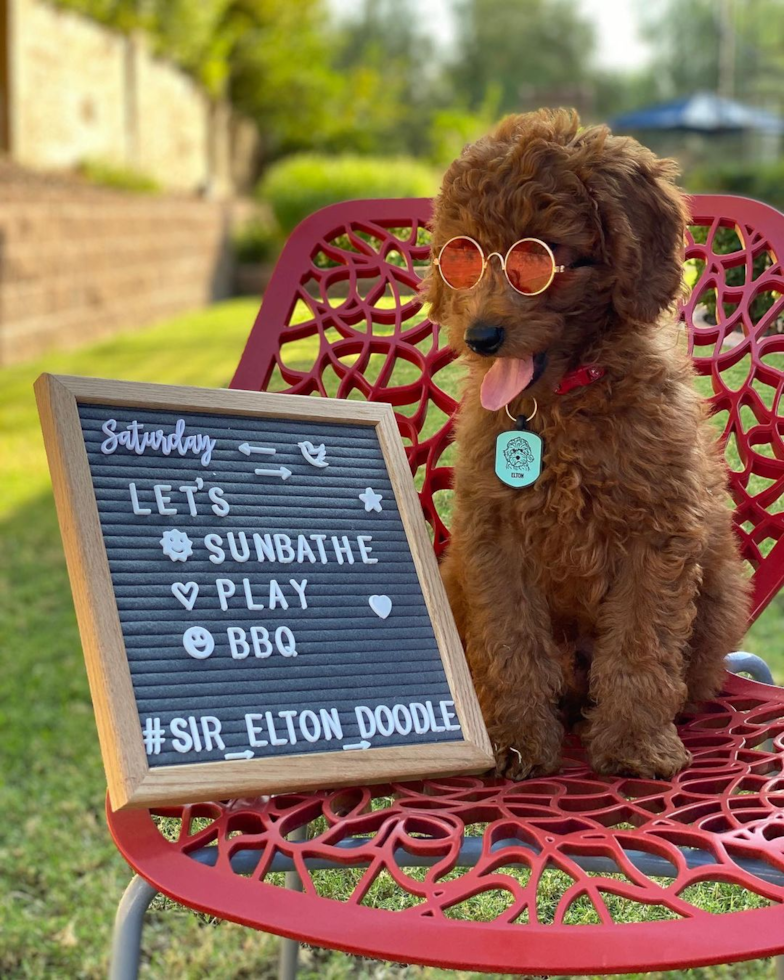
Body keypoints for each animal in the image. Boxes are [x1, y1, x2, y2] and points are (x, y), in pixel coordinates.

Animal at [426, 107, 752, 780]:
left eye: (538, 258)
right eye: (461, 257)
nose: (481, 336)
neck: (559, 404)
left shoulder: (657, 535)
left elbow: (640, 645)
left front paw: (634, 744)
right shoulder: (495, 538)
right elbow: (511, 645)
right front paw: (517, 741)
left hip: (721, 596)